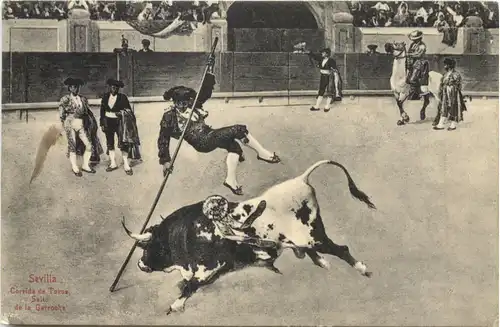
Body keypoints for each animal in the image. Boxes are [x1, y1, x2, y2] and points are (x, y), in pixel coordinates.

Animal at [123, 161, 376, 316]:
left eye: (151, 246)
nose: (140, 264)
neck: (188, 233)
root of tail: (301, 180)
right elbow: (188, 284)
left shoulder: (211, 267)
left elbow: (190, 286)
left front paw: (174, 305)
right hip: (305, 240)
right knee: (315, 251)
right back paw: (323, 263)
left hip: (314, 237)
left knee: (341, 248)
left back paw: (363, 269)